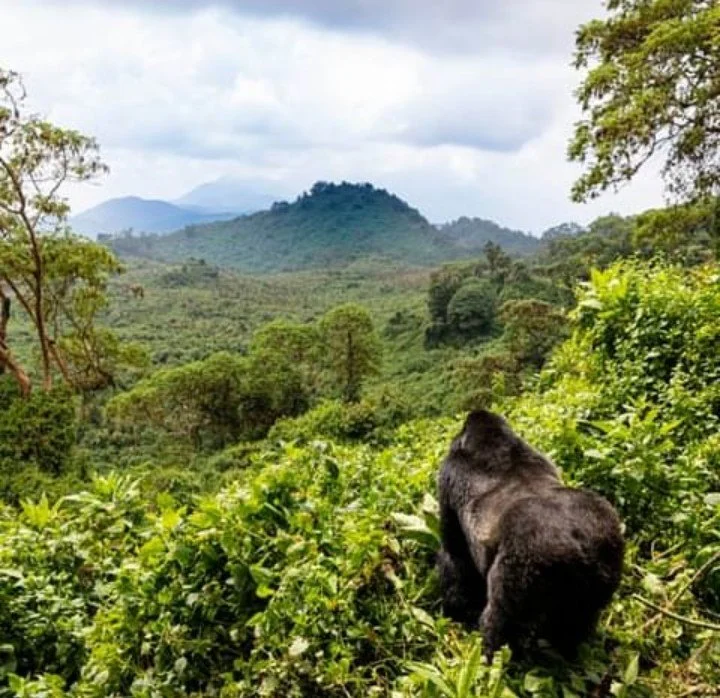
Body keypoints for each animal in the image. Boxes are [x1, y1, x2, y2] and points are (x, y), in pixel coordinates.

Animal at [437, 409, 624, 661]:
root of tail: (578, 543)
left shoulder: (449, 472)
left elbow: (454, 553)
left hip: (524, 562)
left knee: (501, 618)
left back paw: (490, 655)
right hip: (607, 549)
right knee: (579, 618)